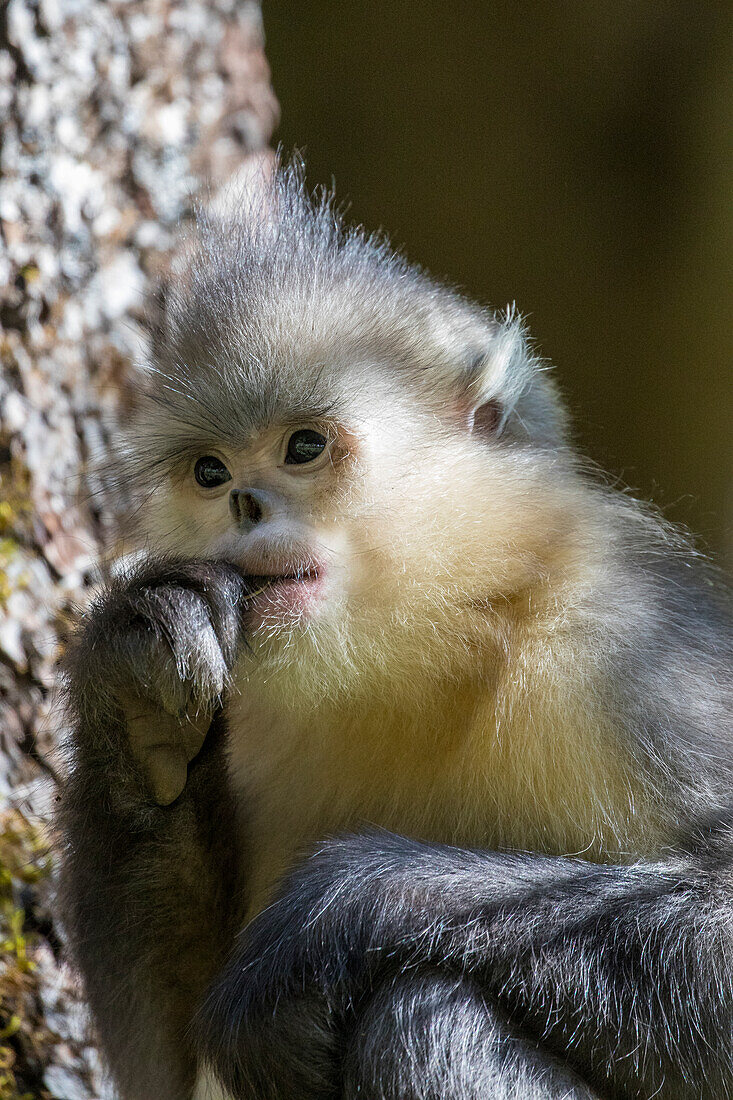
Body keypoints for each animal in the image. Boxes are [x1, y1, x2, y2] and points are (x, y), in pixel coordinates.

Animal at [58, 165, 730, 1100]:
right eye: (210, 472)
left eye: (304, 447)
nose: (242, 505)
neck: (437, 650)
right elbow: (162, 1073)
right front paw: (134, 687)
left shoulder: (633, 657)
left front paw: (333, 918)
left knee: (424, 1009)